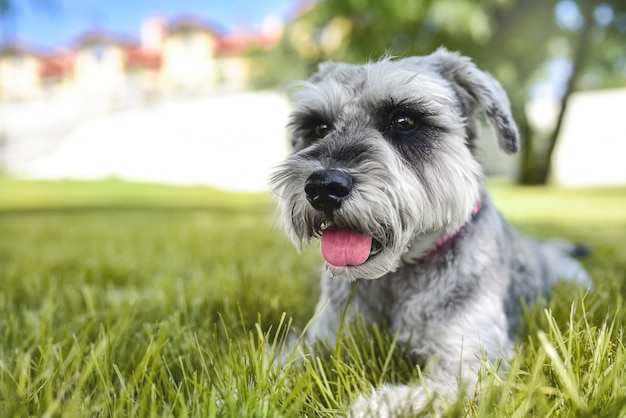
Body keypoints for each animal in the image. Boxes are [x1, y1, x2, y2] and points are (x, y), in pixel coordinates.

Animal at [270, 48, 588, 414]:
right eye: (319, 127)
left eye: (405, 121)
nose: (323, 187)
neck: (396, 277)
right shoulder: (321, 338)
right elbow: (275, 367)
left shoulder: (469, 367)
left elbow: (414, 398)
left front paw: (365, 407)